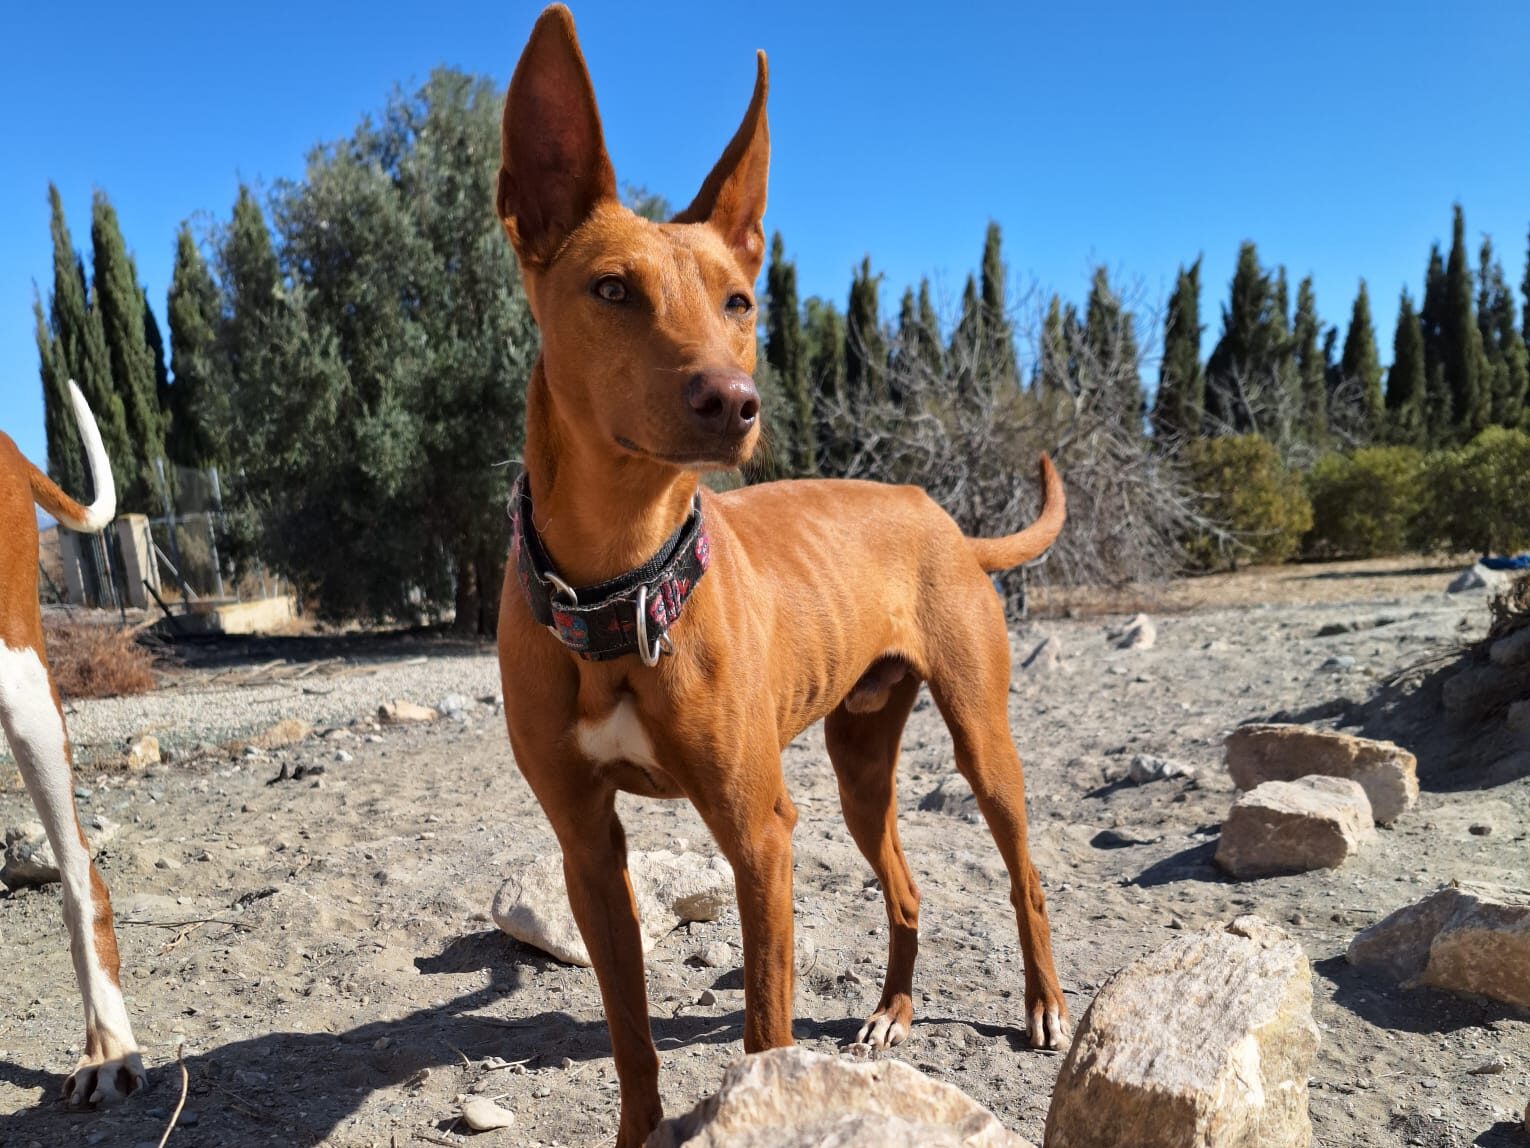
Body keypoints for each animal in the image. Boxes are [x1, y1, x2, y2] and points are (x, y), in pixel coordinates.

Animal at [495, 11, 1071, 1148]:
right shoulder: (587, 847)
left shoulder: (761, 835)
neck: (619, 587)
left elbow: (766, 1027)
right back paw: (891, 1011)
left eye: (739, 301)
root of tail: (937, 513)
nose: (734, 400)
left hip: (982, 746)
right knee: (906, 888)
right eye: (611, 290)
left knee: (1024, 875)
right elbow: (630, 1038)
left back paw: (1042, 1004)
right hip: (858, 765)